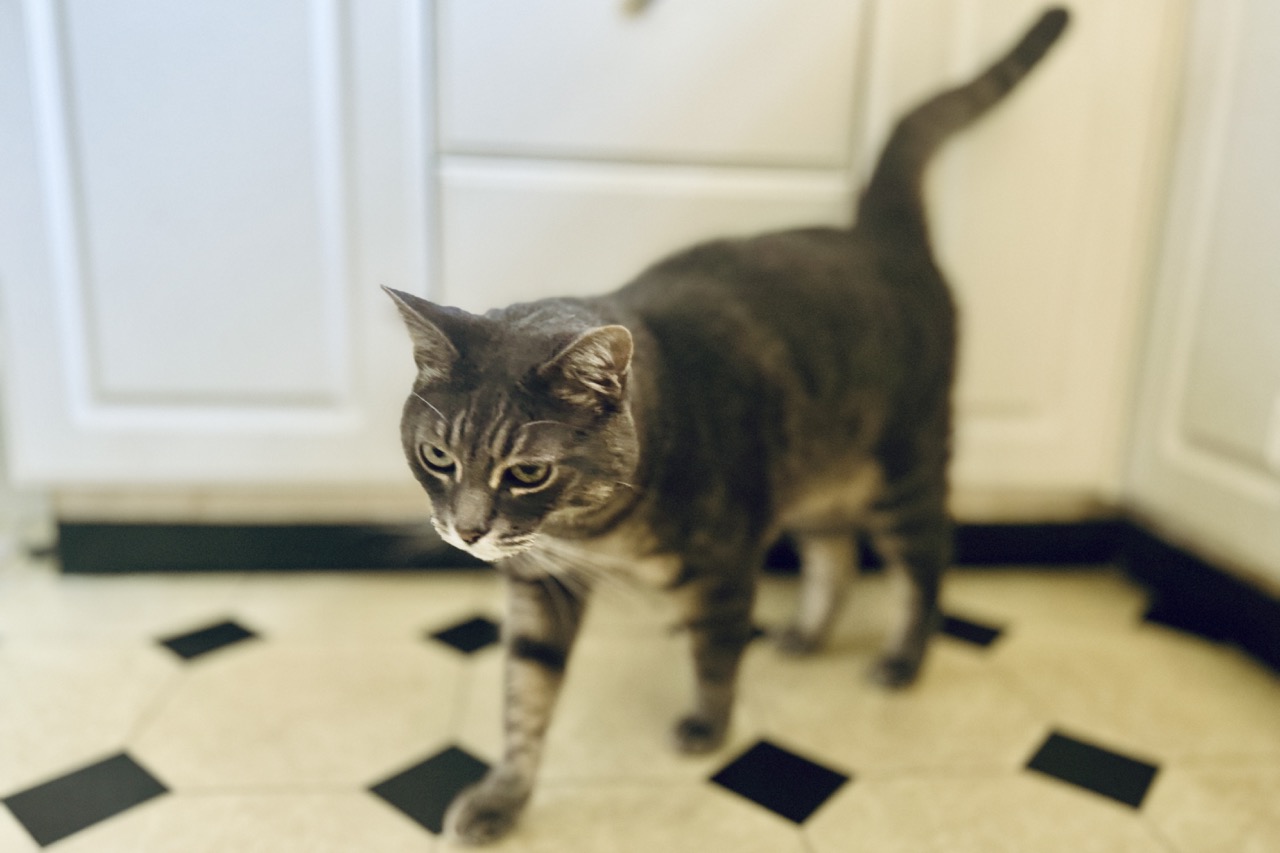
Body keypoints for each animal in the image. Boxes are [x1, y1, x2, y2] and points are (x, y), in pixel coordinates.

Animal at [386, 6, 1070, 840]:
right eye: (437, 456)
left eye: (528, 471)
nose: (468, 529)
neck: (598, 533)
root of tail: (877, 229)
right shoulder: (541, 584)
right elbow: (525, 697)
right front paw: (503, 797)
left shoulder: (726, 559)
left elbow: (714, 651)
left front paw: (707, 727)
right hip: (815, 474)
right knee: (835, 557)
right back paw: (807, 633)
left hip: (905, 467)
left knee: (927, 559)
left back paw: (904, 659)